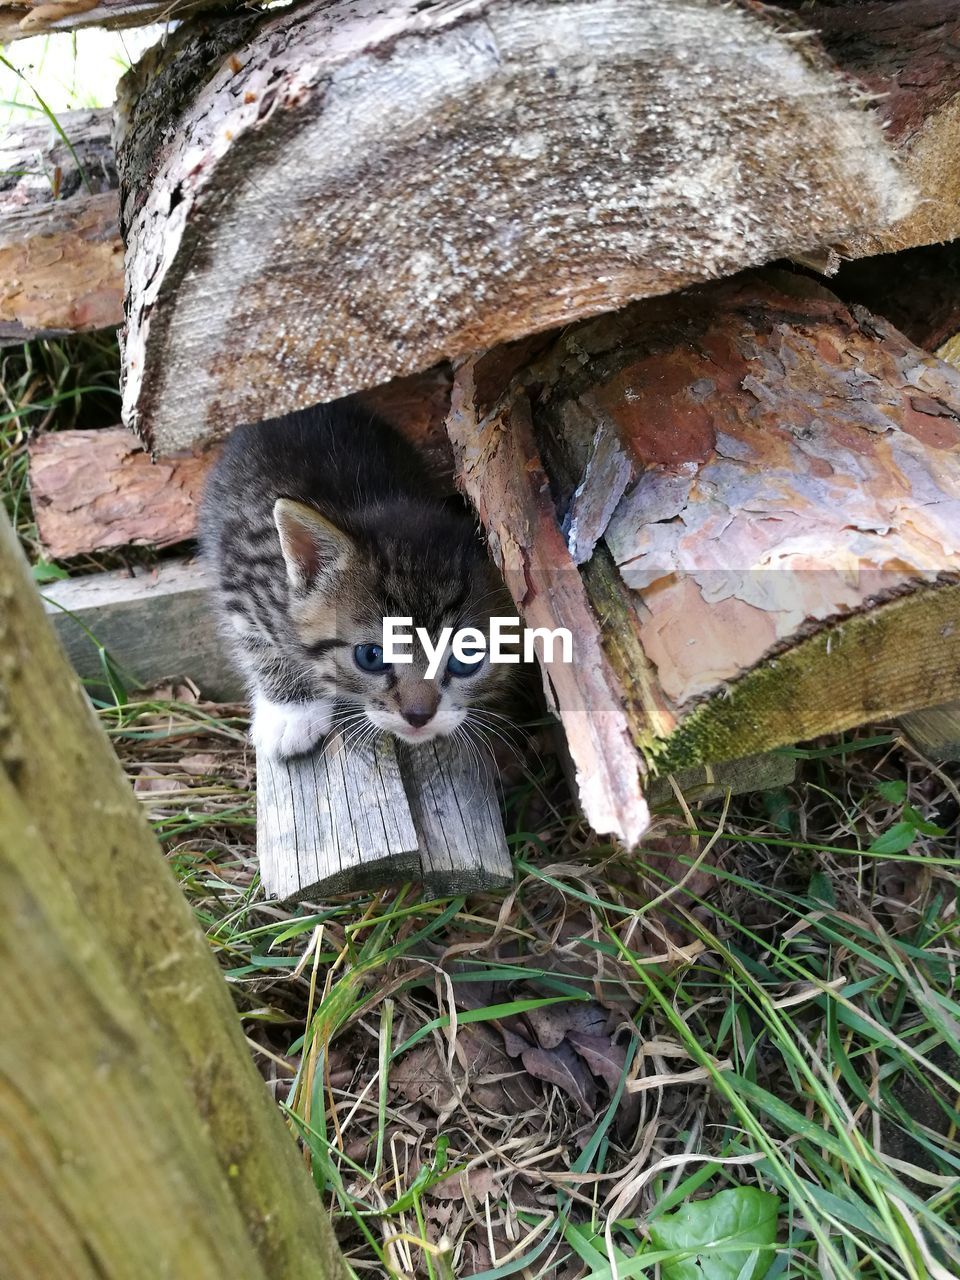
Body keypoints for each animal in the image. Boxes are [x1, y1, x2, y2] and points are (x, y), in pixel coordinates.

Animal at [198, 404, 514, 752]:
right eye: (370, 657)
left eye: (465, 659)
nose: (418, 715)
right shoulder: (244, 574)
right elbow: (256, 641)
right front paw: (291, 712)